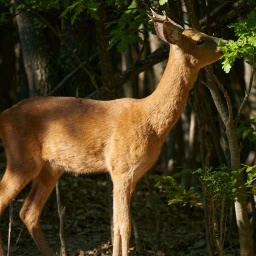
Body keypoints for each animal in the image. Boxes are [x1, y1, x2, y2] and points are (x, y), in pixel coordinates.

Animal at [0, 9, 224, 256]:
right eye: (200, 40)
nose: (224, 43)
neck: (150, 120)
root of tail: (4, 116)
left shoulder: (130, 174)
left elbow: (115, 224)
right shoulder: (121, 168)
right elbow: (125, 226)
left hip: (51, 167)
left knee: (28, 212)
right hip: (21, 159)